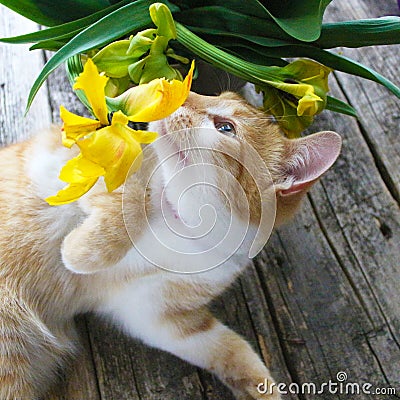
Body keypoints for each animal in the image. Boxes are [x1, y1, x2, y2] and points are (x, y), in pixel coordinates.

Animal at [0, 92, 340, 398]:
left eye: (226, 127)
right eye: (214, 94)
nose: (182, 91)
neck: (185, 227)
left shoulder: (154, 313)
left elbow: (229, 347)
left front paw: (261, 389)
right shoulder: (82, 158)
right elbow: (132, 199)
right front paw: (82, 252)